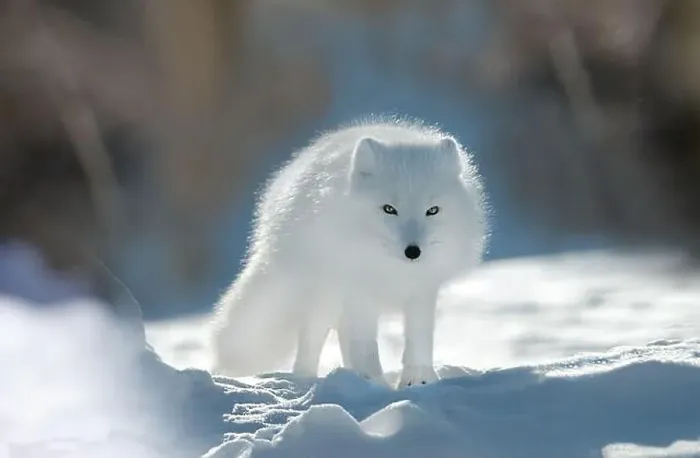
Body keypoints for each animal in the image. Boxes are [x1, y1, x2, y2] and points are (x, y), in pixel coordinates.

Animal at [211, 117, 487, 388]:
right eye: (389, 209)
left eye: (432, 210)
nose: (413, 251)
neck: (392, 271)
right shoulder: (359, 292)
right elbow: (365, 347)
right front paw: (375, 386)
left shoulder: (423, 291)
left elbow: (419, 340)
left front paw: (418, 381)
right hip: (324, 296)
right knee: (312, 341)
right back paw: (306, 380)